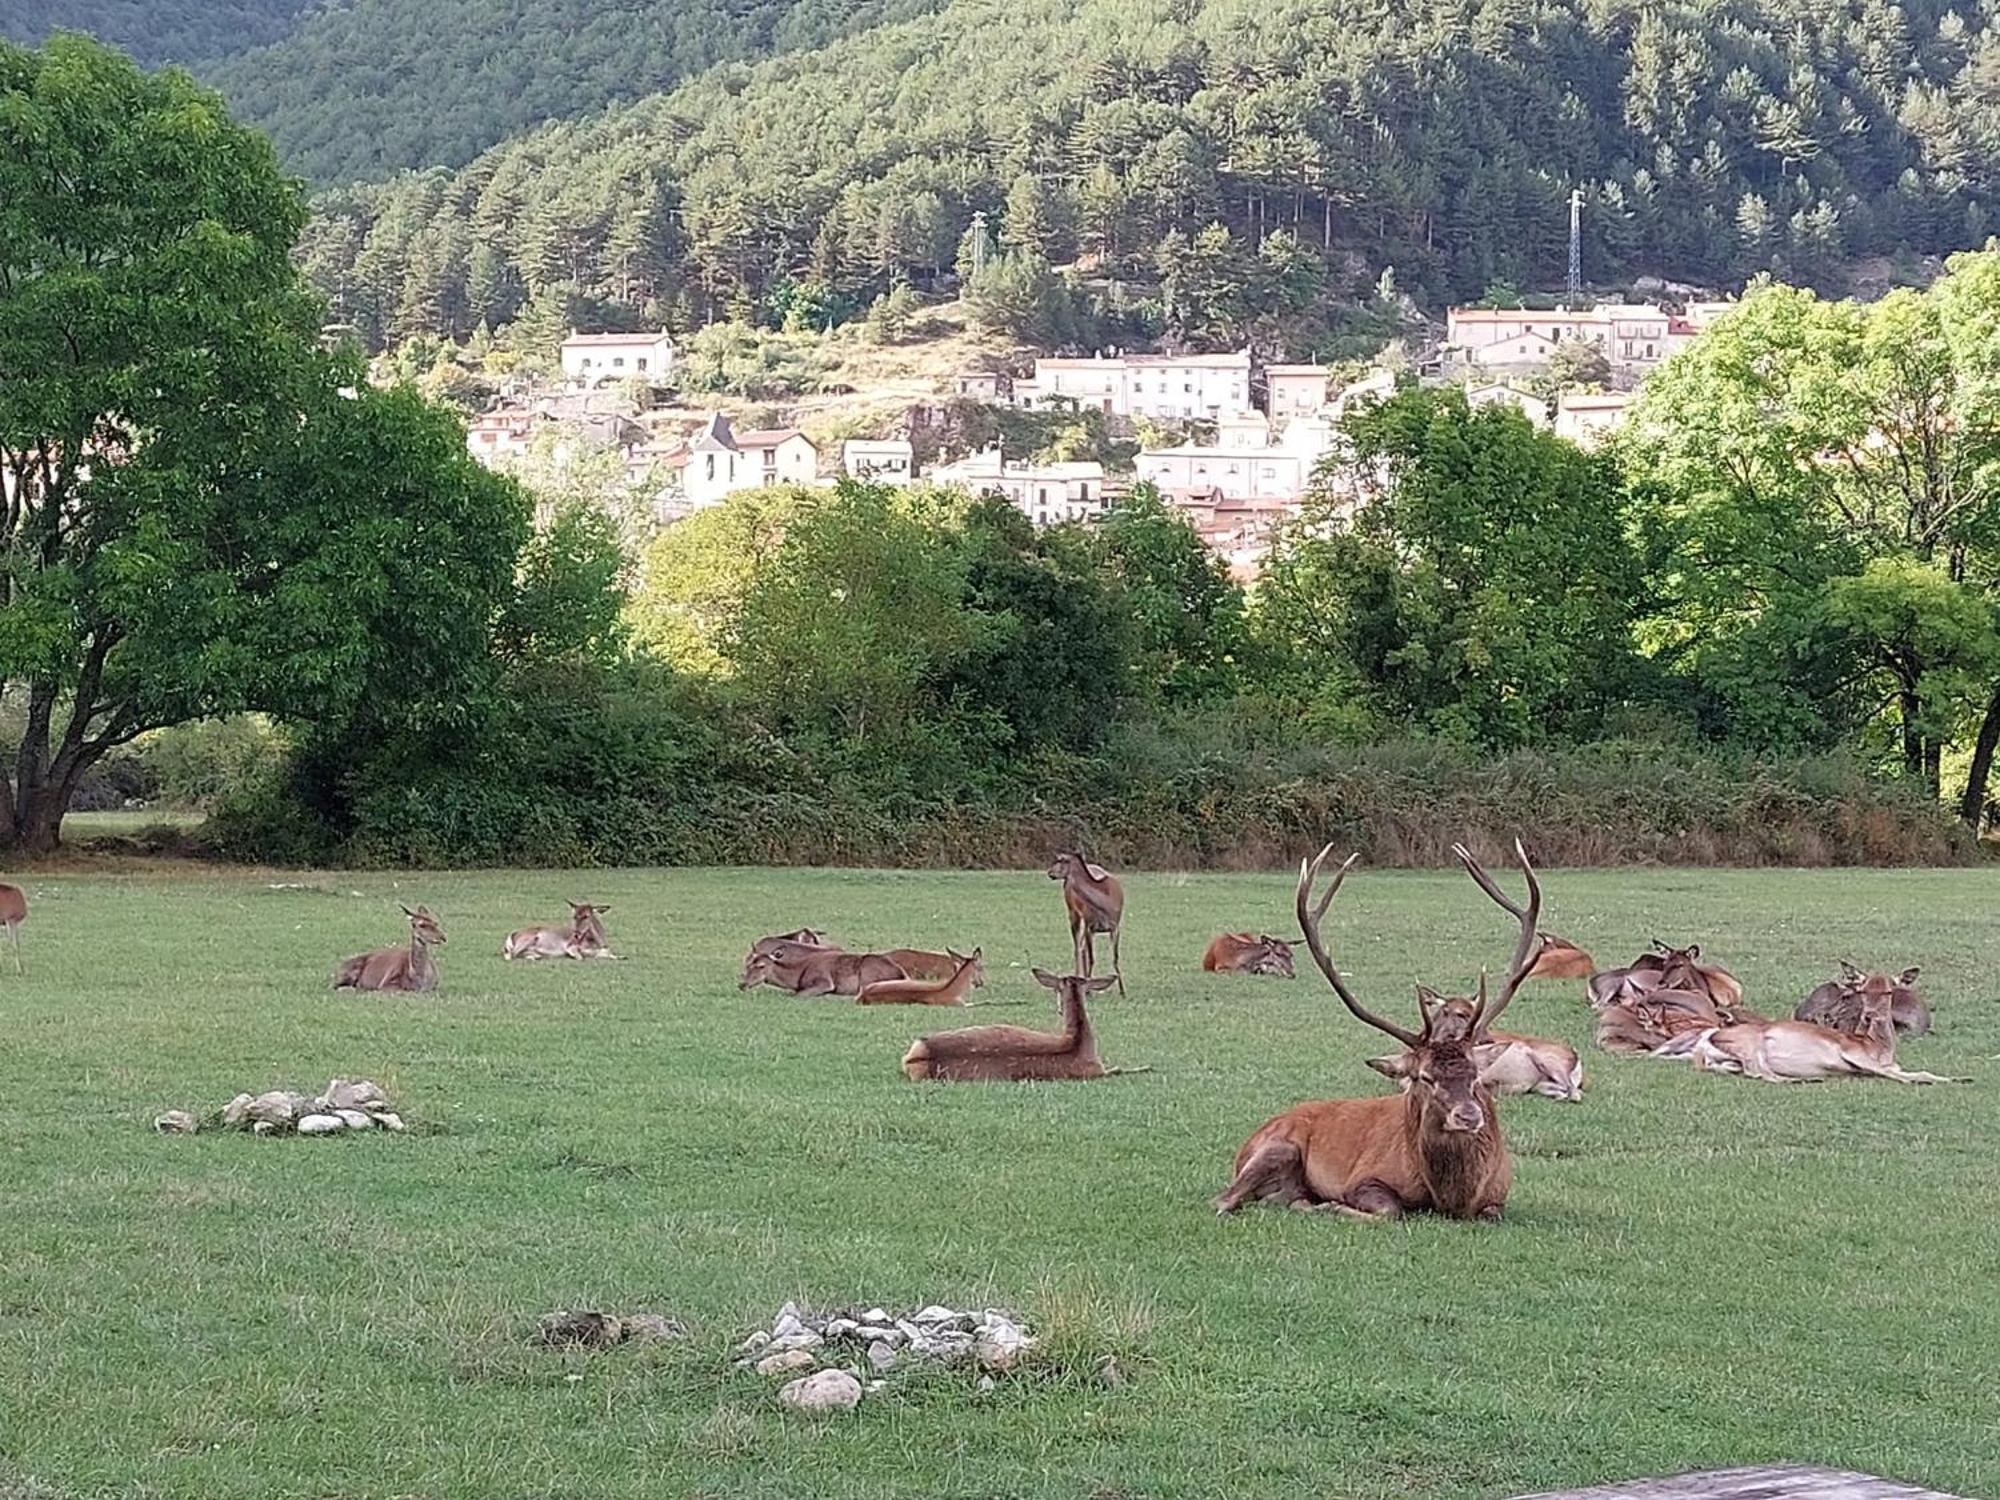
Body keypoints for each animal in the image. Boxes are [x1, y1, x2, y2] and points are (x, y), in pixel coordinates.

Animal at [1048, 856, 1128, 1000]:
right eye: (1057, 858)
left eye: (1062, 860)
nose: (1050, 872)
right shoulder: (1090, 926)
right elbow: (1092, 958)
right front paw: (1088, 991)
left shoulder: (1116, 926)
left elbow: (1115, 957)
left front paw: (1122, 991)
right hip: (1073, 913)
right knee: (1078, 948)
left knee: (1082, 947)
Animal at [1200, 840, 1544, 1224]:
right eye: (1424, 1077)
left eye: (1476, 1075)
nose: (1469, 1115)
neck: (1450, 1199)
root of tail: (1250, 1139)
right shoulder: (1364, 1178)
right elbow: (1390, 1209)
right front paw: (1335, 1204)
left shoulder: (1499, 1195)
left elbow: (1492, 1212)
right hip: (1278, 1147)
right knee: (1222, 1200)